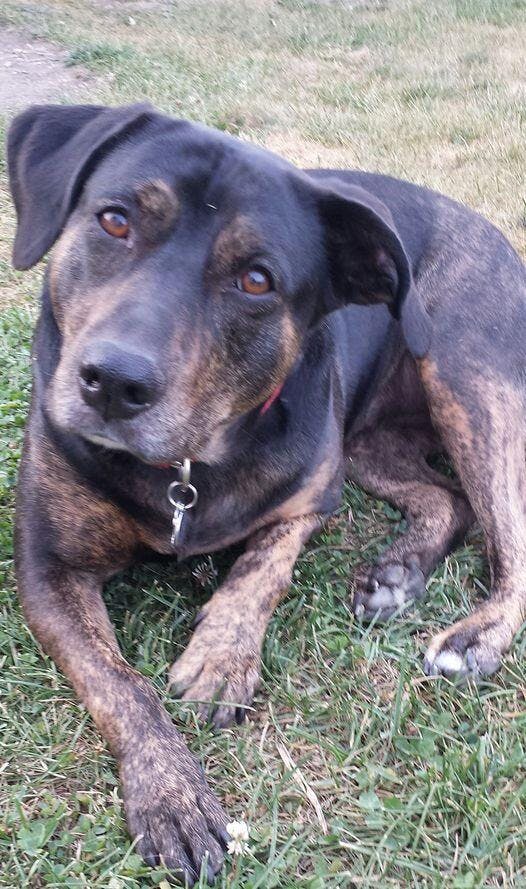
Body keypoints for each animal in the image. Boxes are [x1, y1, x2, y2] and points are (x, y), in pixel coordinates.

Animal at [8, 102, 526, 884]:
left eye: (257, 280)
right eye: (115, 221)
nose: (113, 382)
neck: (187, 464)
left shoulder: (311, 498)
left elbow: (262, 570)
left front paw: (222, 657)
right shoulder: (48, 569)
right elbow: (118, 682)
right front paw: (172, 795)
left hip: (466, 373)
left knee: (506, 528)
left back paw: (474, 634)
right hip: (373, 438)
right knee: (452, 499)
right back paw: (397, 572)